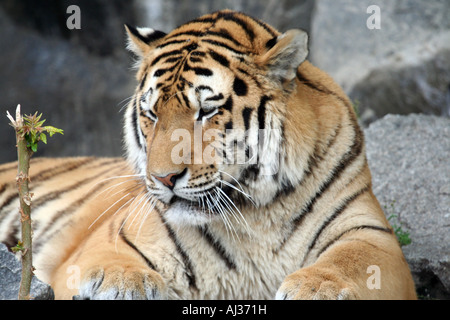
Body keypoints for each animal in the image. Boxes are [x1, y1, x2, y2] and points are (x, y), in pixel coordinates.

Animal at [0, 10, 416, 300]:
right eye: (152, 114)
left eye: (206, 111)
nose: (164, 179)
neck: (257, 210)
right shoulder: (111, 239)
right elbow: (108, 262)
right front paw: (119, 283)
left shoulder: (371, 233)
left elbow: (354, 261)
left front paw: (318, 288)